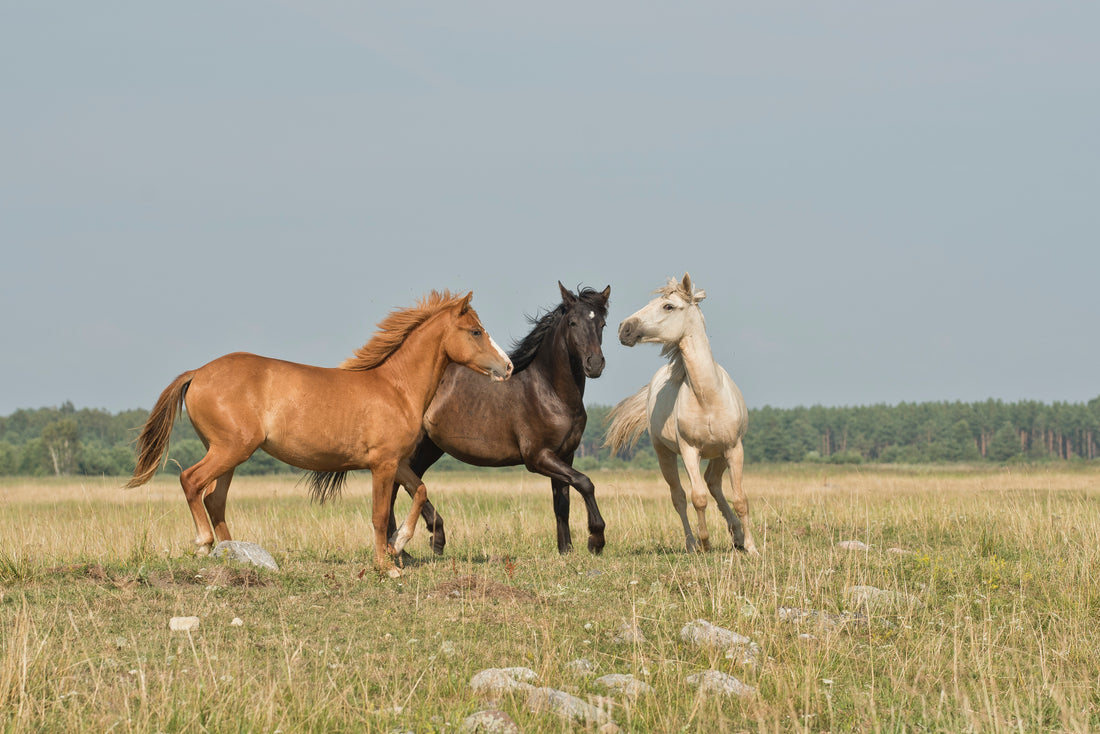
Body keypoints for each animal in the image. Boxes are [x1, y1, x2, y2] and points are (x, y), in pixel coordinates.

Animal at [126, 291, 513, 570]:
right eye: (476, 331)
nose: (507, 367)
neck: (396, 388)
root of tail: (197, 373)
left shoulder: (396, 462)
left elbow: (419, 491)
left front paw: (399, 543)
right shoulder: (382, 465)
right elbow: (379, 514)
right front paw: (386, 565)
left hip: (229, 455)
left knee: (214, 498)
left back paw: (233, 553)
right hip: (230, 449)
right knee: (191, 481)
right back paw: (205, 544)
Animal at [382, 282, 611, 555]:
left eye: (602, 324)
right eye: (573, 322)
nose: (594, 364)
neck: (550, 392)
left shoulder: (565, 455)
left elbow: (562, 503)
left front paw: (565, 549)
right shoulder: (538, 457)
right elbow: (585, 482)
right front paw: (595, 539)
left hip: (430, 447)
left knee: (406, 484)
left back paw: (413, 544)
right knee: (398, 485)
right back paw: (413, 543)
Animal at [606, 274, 757, 554]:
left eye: (668, 306)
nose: (624, 328)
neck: (708, 398)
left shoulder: (734, 449)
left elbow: (741, 498)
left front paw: (752, 548)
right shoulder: (689, 451)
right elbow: (697, 498)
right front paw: (705, 543)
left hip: (720, 454)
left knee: (713, 483)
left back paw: (737, 536)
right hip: (664, 454)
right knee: (680, 497)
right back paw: (691, 543)